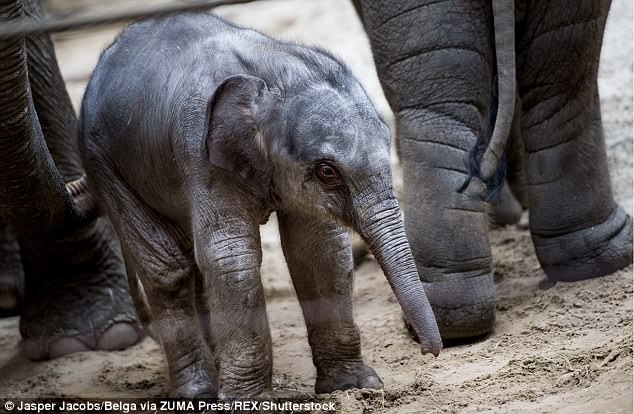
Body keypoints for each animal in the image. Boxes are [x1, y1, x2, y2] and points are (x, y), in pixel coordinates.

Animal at [78, 11, 440, 396]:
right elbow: (230, 257)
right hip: (103, 164)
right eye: (327, 171)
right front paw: (250, 400)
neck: (271, 71)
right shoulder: (198, 151)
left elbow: (319, 250)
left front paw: (354, 386)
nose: (428, 350)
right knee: (167, 266)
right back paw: (198, 395)